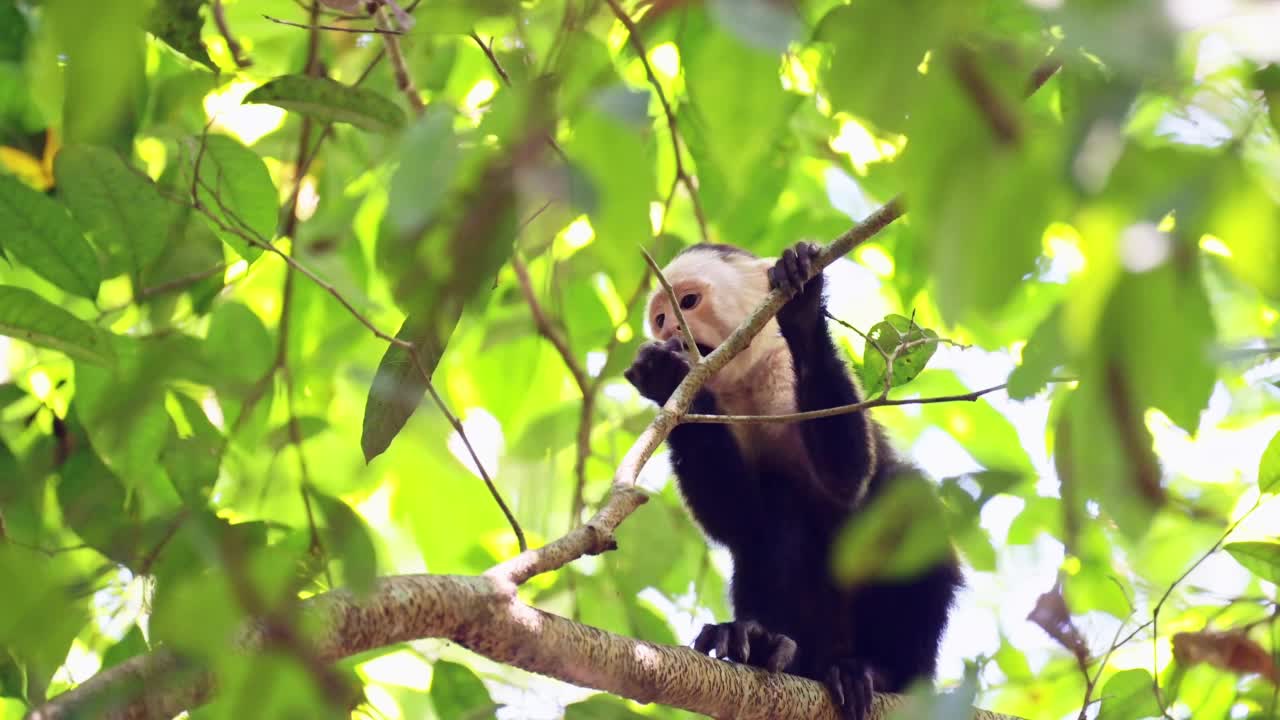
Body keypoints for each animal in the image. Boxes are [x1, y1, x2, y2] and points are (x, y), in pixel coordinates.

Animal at [624, 240, 962, 717]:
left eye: (687, 302)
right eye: (658, 319)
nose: (670, 328)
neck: (747, 381)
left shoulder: (782, 368)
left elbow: (848, 478)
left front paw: (801, 308)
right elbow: (740, 519)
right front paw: (663, 374)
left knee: (902, 499)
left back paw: (879, 673)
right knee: (777, 519)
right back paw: (761, 643)